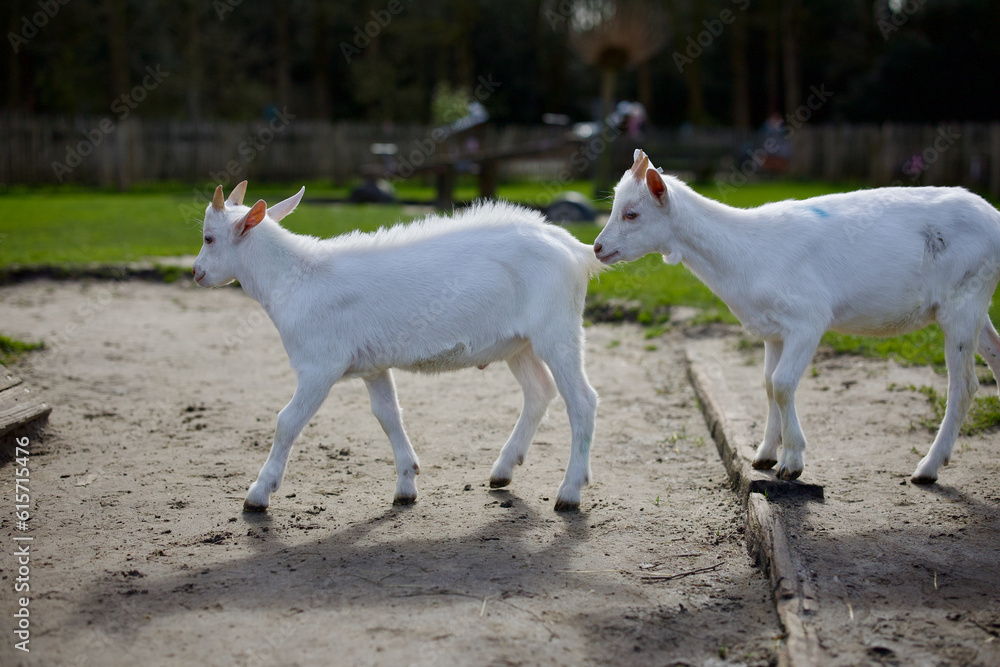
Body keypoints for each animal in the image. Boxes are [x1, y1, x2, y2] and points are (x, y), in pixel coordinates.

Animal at [592, 150, 1000, 486]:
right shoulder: (773, 332)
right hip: (976, 305)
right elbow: (768, 383)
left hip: (963, 302)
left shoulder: (808, 320)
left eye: (632, 213)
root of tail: (994, 217)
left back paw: (927, 468)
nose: (597, 248)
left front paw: (792, 462)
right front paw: (764, 456)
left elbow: (784, 383)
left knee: (964, 386)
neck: (744, 252)